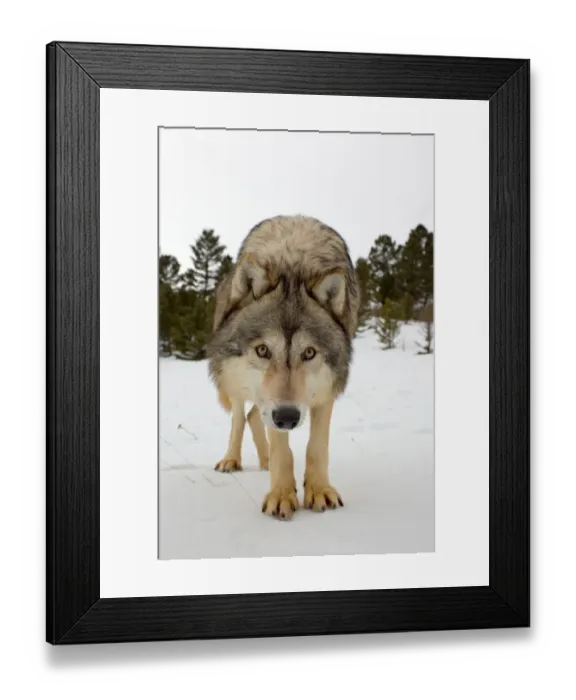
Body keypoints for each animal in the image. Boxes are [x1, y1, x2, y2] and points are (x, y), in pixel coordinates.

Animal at [206, 215, 360, 520]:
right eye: (263, 350)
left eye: (309, 352)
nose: (287, 417)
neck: (294, 266)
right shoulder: (272, 403)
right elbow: (281, 449)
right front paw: (281, 495)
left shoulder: (326, 391)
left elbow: (317, 447)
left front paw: (319, 490)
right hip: (236, 383)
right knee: (240, 418)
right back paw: (231, 460)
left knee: (254, 416)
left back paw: (264, 460)